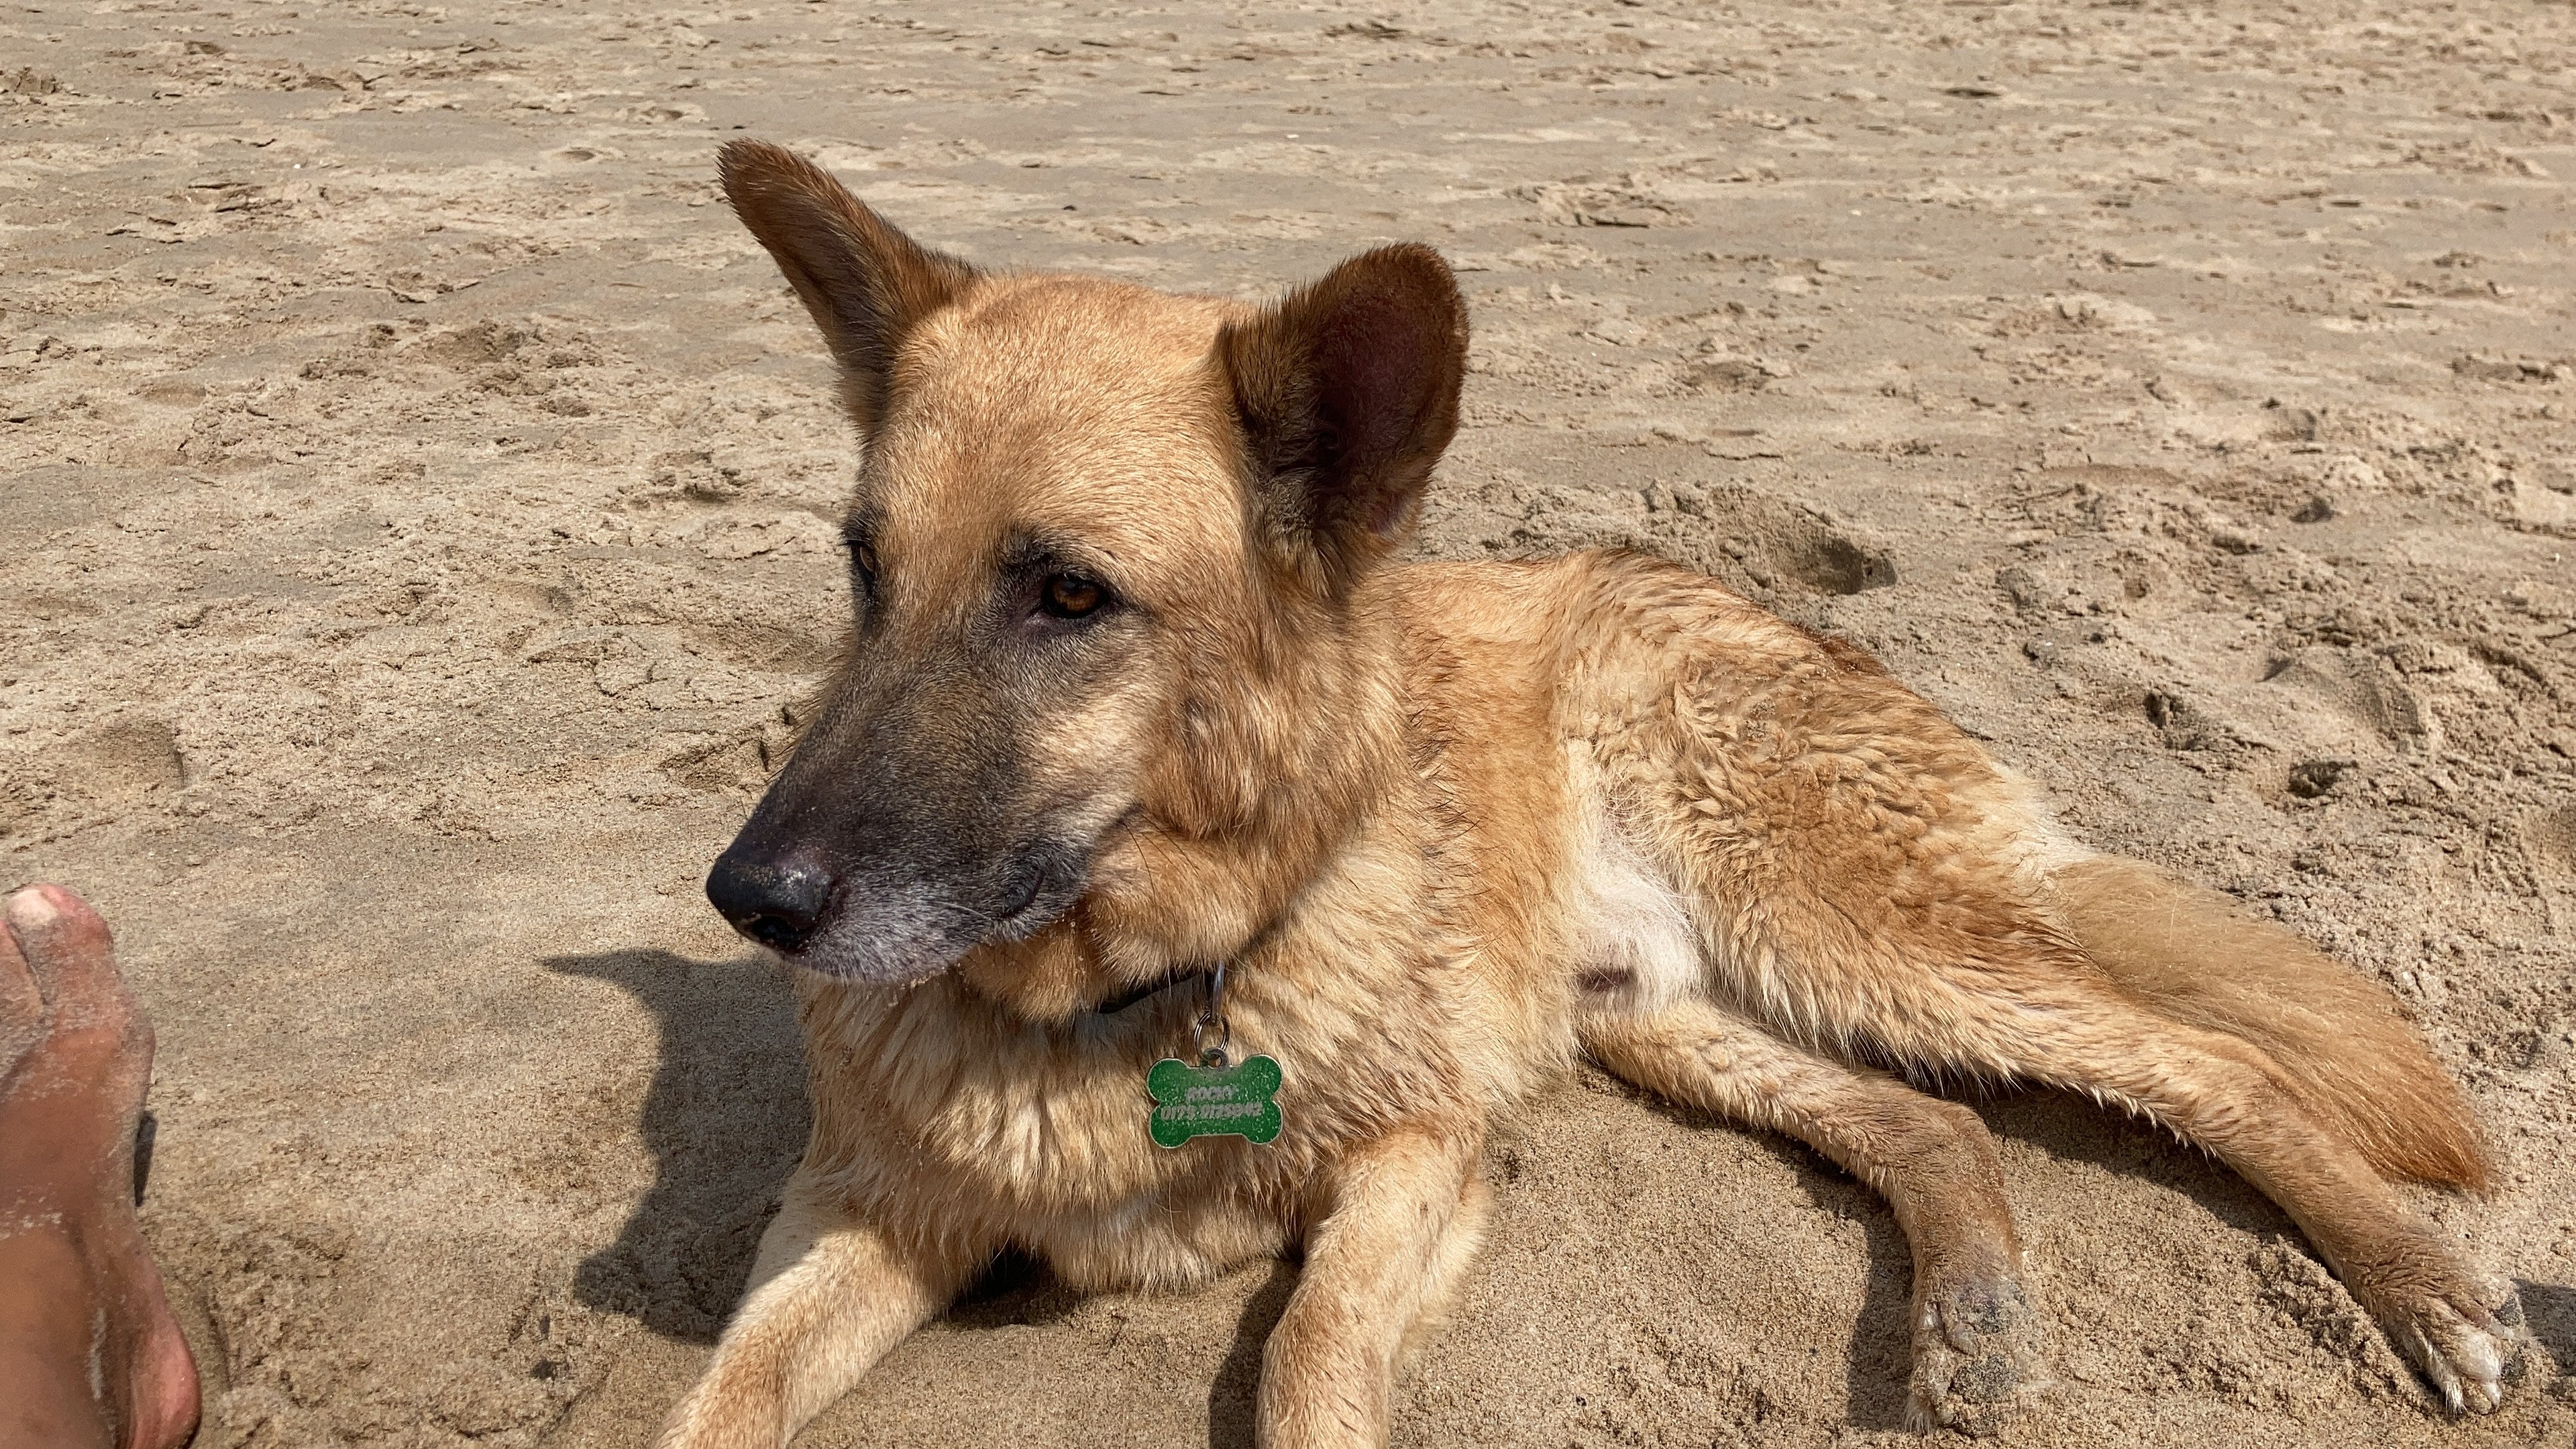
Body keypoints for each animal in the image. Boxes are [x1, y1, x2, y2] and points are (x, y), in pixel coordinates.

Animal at [659, 138, 2514, 1444]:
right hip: (1674, 1012)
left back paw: (2427, 1289)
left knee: (2209, 1065)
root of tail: (1738, 604)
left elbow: (1311, 1354)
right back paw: (1975, 1309)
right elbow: (718, 1396)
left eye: (1066, 595)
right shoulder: (856, 1214)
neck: (1138, 996)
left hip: (1848, 932)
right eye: (862, 567)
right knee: (1930, 1119)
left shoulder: (1420, 1155)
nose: (752, 900)